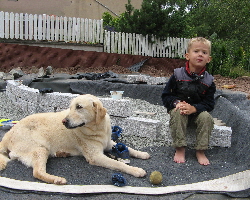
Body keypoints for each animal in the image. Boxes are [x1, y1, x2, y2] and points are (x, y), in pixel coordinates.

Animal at [0, 95, 149, 184]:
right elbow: (119, 164)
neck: (97, 128)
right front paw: (136, 170)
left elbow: (129, 148)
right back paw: (56, 179)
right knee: (37, 172)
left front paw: (142, 154)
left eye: (79, 107)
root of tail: (6, 136)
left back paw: (62, 154)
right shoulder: (96, 156)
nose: (64, 121)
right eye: (70, 107)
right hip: (40, 148)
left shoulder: (109, 143)